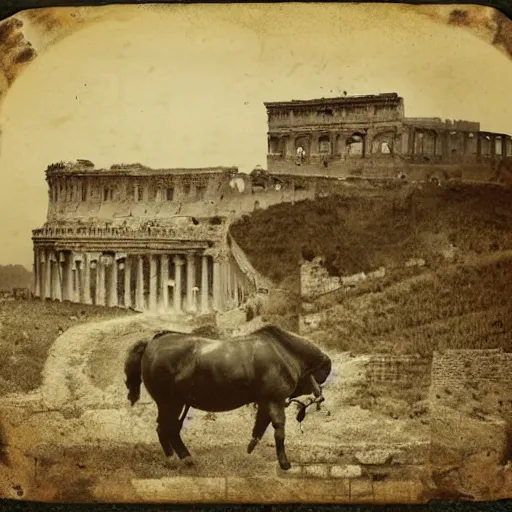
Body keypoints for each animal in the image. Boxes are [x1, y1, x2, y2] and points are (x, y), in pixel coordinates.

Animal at [124, 324, 332, 468]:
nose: (319, 396)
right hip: (169, 402)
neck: (284, 351)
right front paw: (284, 463)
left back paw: (186, 458)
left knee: (173, 429)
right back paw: (171, 459)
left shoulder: (265, 401)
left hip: (180, 403)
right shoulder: (275, 400)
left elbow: (260, 426)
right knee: (163, 429)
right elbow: (279, 430)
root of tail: (152, 342)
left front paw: (251, 447)